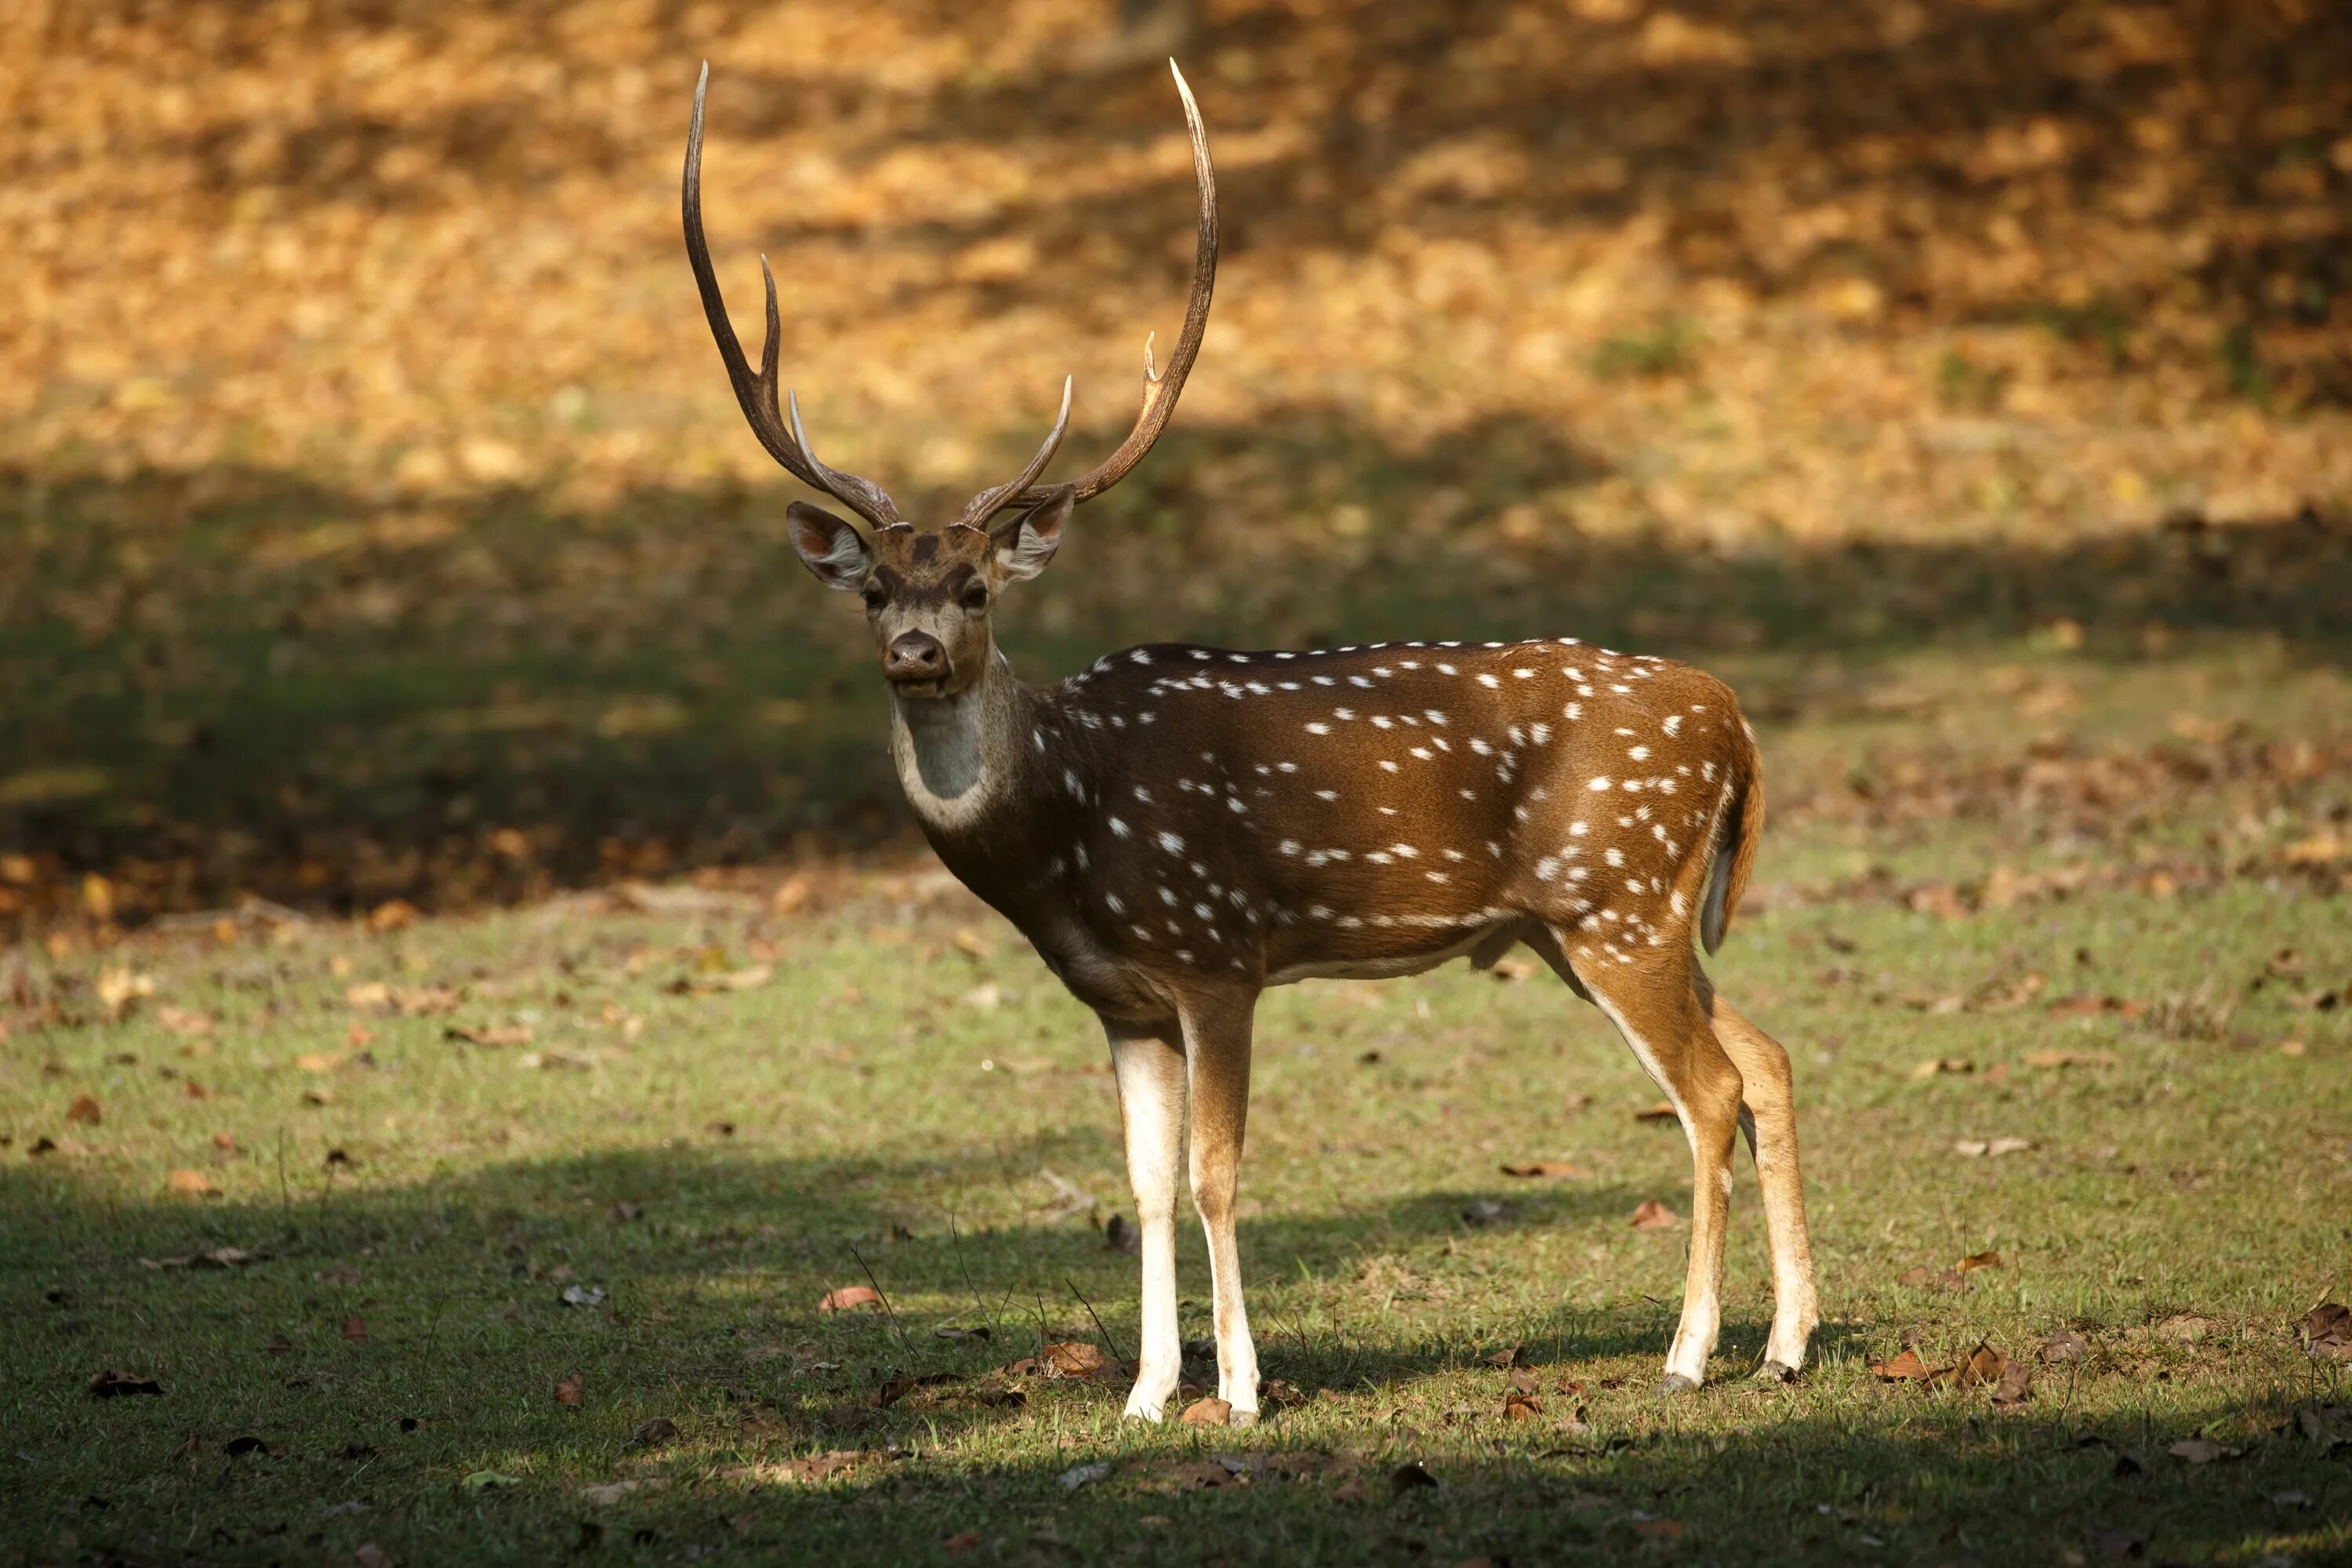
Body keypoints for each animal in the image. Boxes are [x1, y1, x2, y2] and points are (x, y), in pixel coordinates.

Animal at [682, 67, 1816, 1429]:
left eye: (974, 589)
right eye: (870, 590)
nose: (912, 648)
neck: (1065, 829)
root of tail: (1732, 717)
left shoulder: (1217, 950)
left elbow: (1217, 1170)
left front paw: (1240, 1388)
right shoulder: (1119, 998)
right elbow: (1144, 1182)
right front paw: (1144, 1393)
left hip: (1618, 897)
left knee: (1707, 1091)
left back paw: (1691, 1352)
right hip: (1596, 921)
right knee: (1766, 1055)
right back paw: (1788, 1343)